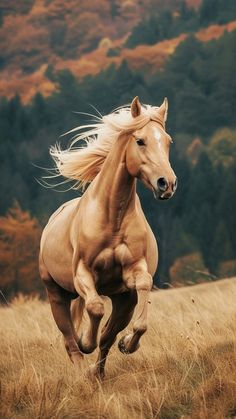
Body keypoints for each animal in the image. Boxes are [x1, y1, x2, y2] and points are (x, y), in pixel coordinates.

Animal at [39, 97, 177, 378]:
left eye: (168, 141)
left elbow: (139, 307)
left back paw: (98, 372)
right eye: (140, 141)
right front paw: (86, 340)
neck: (112, 218)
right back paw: (83, 366)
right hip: (55, 294)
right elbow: (95, 308)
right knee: (70, 341)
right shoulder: (83, 273)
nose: (166, 184)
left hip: (123, 300)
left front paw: (128, 344)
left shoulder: (133, 275)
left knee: (107, 337)